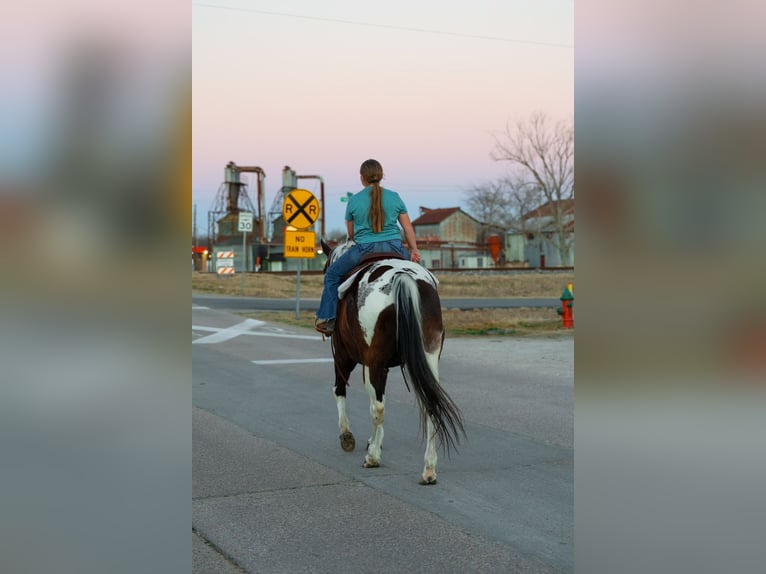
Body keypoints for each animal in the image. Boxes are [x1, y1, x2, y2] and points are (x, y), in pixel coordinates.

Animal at [320, 239, 465, 485]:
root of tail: (403, 277)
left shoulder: (343, 355)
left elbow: (340, 390)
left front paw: (349, 436)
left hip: (371, 362)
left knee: (377, 407)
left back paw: (372, 458)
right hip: (428, 358)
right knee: (430, 404)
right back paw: (428, 469)